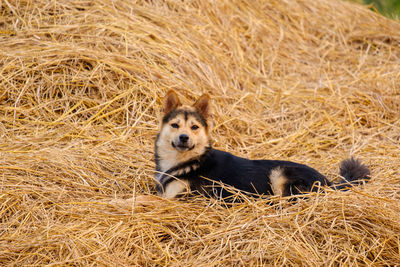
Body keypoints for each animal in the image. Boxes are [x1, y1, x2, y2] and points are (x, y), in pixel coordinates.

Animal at [154, 90, 372, 201]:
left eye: (194, 127)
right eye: (175, 125)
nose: (184, 137)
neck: (189, 160)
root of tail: (328, 182)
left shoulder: (177, 199)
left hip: (280, 173)